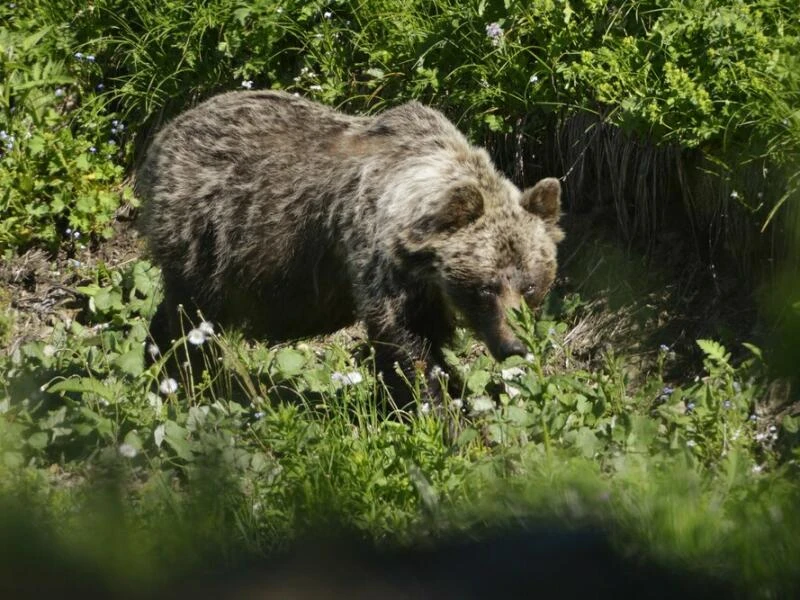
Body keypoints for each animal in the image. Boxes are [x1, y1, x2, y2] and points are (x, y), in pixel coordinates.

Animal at [136, 89, 564, 406]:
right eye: (486, 287)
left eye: (530, 285)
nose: (514, 345)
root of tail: (165, 133)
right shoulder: (377, 259)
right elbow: (405, 344)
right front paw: (437, 408)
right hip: (207, 237)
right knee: (189, 317)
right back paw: (178, 376)